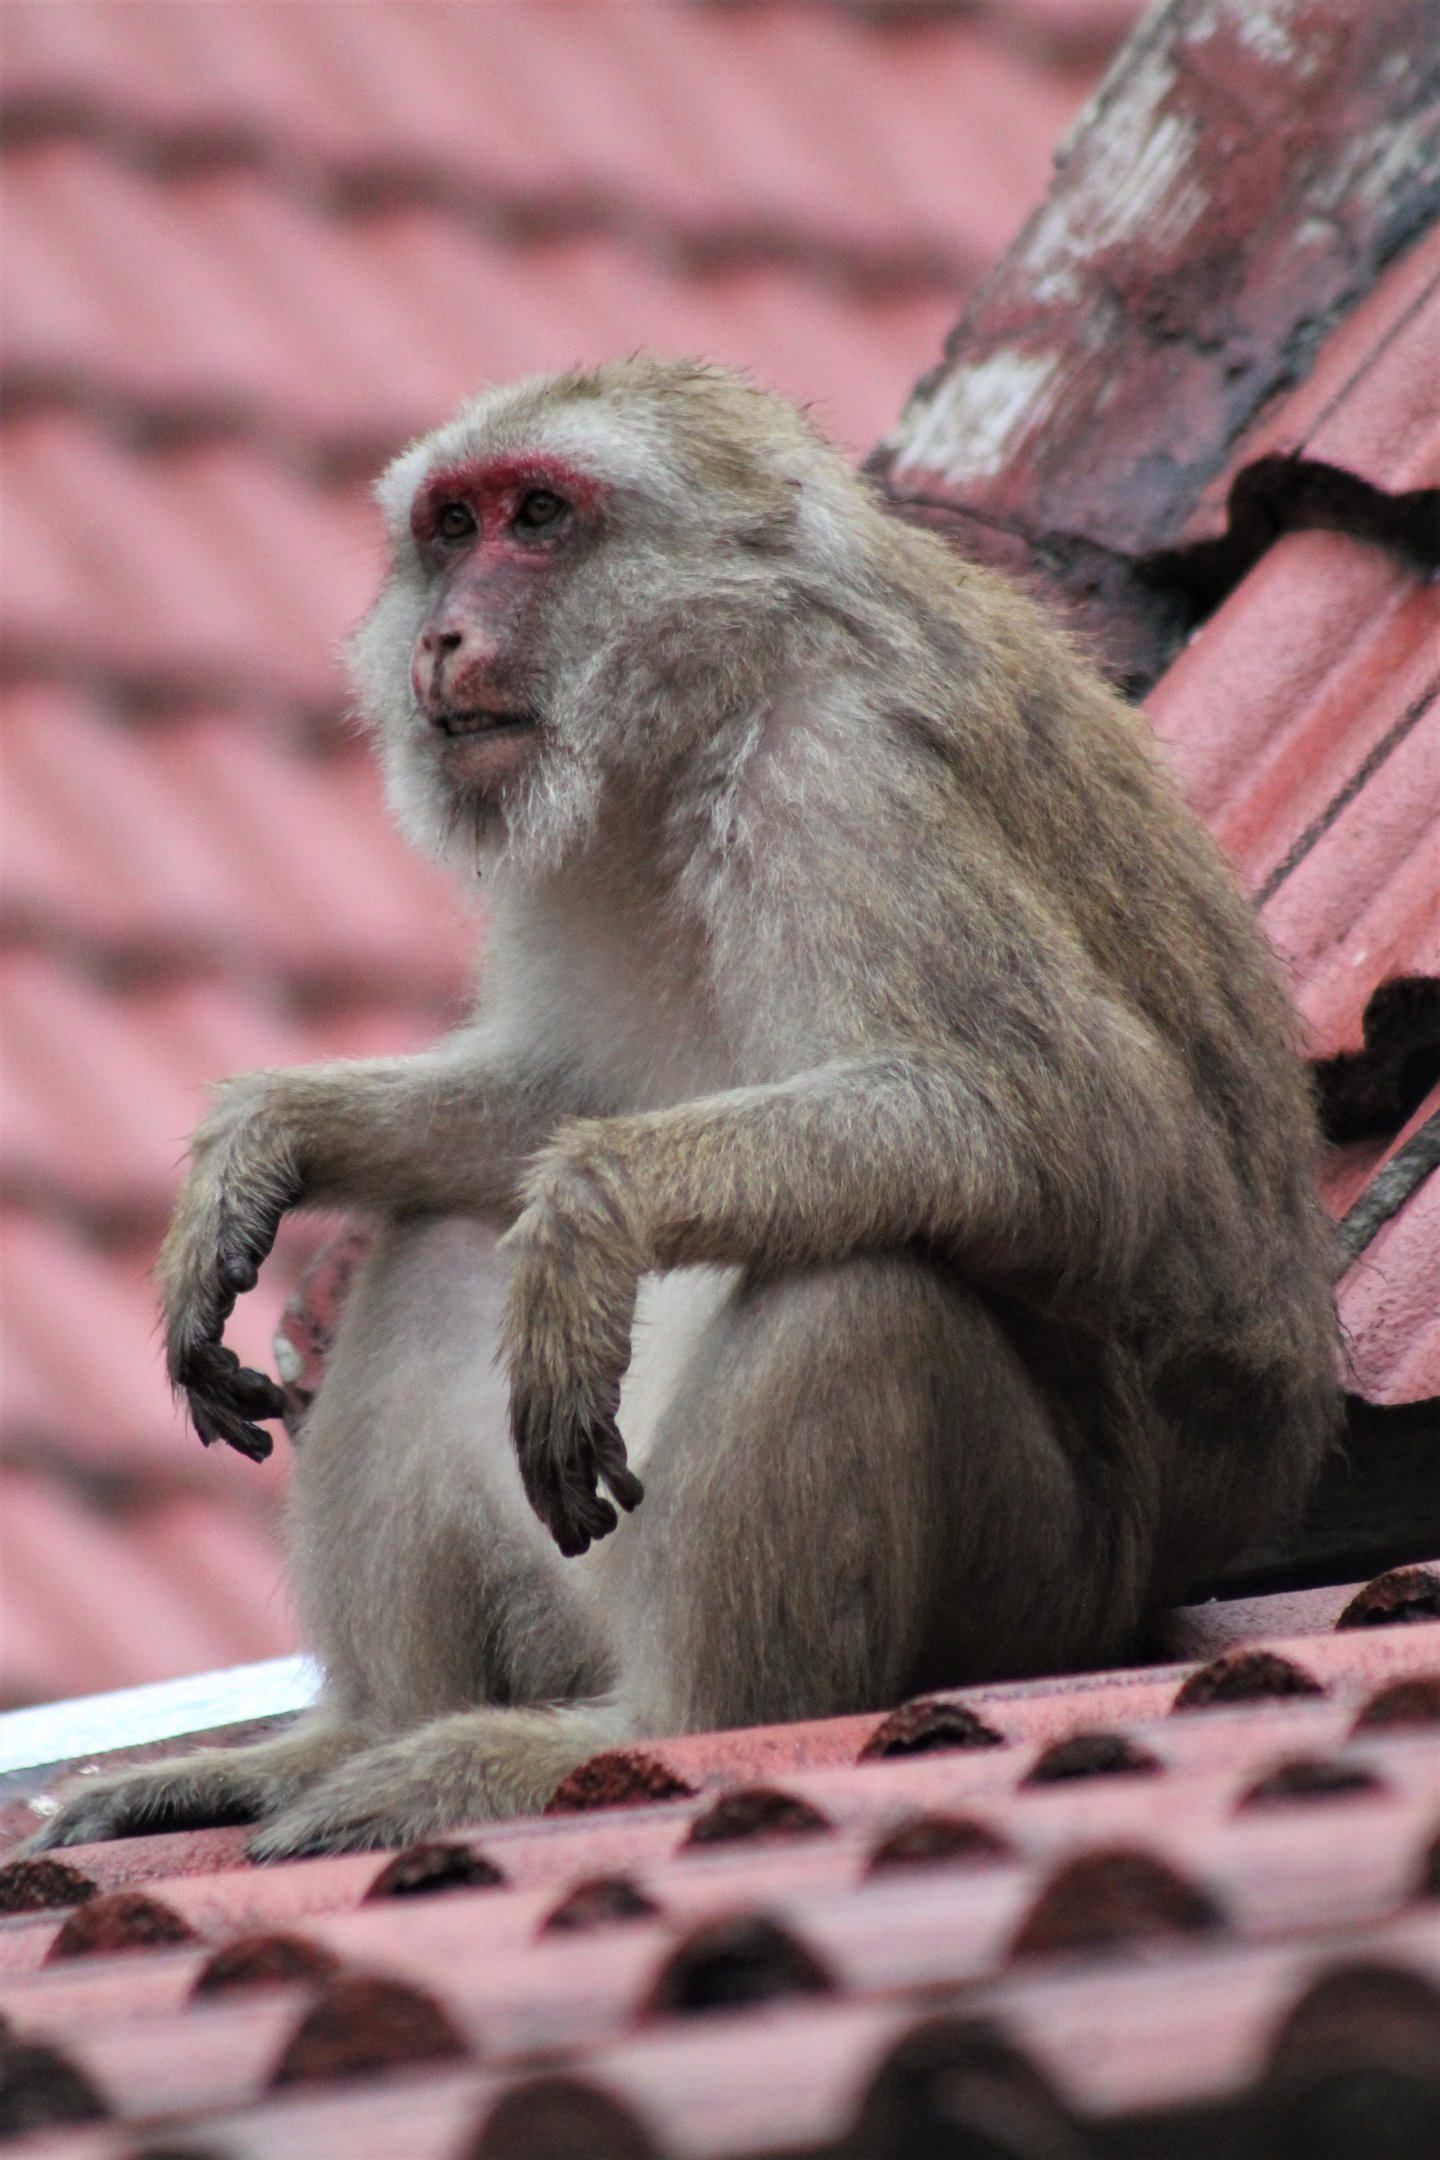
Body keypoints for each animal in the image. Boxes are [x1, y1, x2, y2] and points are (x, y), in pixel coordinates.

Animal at [31, 359, 1341, 1857]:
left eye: (540, 517)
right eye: (452, 525)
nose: (445, 634)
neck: (713, 708)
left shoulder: (841, 778)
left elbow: (1071, 1126)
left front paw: (594, 1210)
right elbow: (558, 1098)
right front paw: (268, 1139)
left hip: (1044, 1595)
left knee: (862, 1278)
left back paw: (656, 1729)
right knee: (442, 1234)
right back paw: (357, 1732)